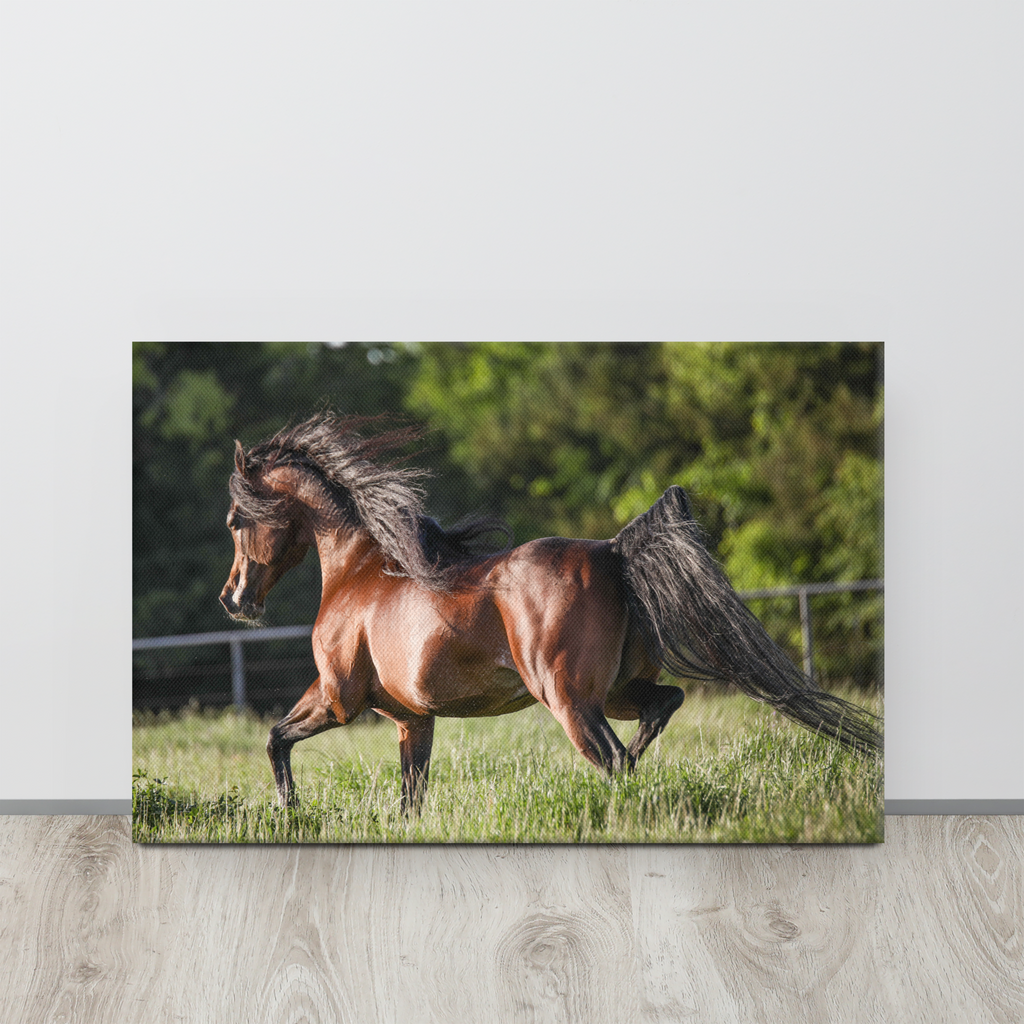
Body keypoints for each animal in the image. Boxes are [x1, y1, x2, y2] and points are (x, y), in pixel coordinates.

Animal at [219, 413, 881, 814]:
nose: (234, 600)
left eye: (234, 520)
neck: (359, 570)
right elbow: (411, 798)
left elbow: (276, 739)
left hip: (566, 697)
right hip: (614, 690)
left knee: (612, 755)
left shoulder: (339, 698)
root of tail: (611, 552)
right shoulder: (413, 721)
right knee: (658, 712)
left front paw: (289, 810)